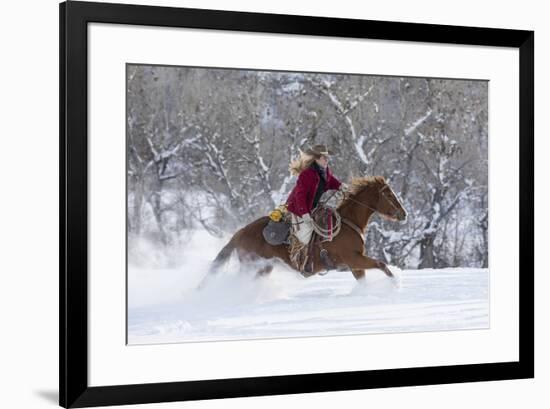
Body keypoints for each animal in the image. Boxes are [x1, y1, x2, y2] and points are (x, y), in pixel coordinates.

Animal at [202, 175, 406, 284]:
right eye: (388, 194)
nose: (403, 214)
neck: (348, 222)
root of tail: (241, 232)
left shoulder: (354, 264)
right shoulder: (354, 258)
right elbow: (381, 264)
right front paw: (396, 284)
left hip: (263, 268)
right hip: (254, 268)